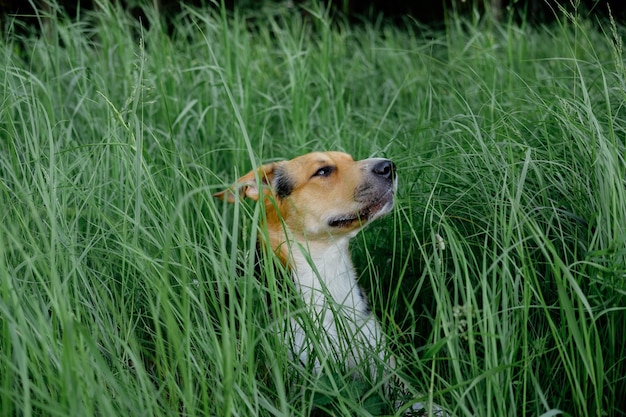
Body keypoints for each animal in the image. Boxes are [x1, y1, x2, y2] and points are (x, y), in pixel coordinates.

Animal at [214, 151, 444, 414]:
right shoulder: (304, 382)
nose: (389, 166)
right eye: (323, 171)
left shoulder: (384, 366)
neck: (329, 271)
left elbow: (417, 400)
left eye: (351, 159)